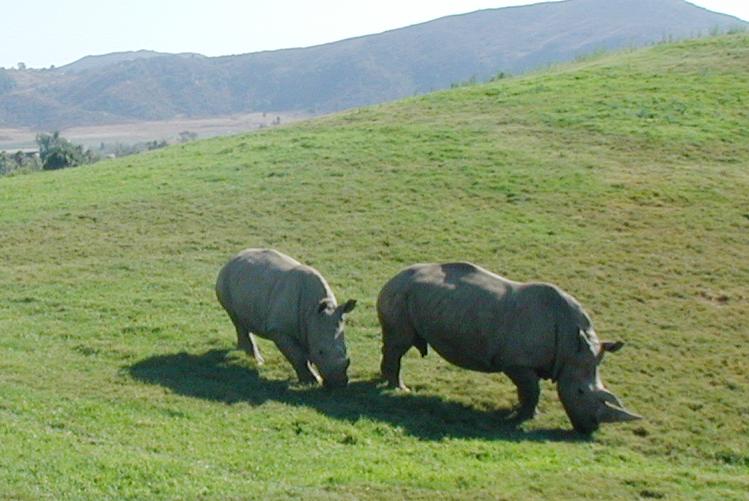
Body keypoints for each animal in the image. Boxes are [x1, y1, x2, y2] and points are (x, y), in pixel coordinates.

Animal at [216, 248, 357, 388]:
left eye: (346, 349)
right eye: (320, 352)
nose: (339, 383)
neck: (313, 312)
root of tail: (234, 257)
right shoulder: (279, 330)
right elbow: (298, 356)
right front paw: (312, 381)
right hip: (226, 280)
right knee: (236, 319)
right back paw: (257, 361)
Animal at [377, 262, 641, 433]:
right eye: (579, 392)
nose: (590, 429)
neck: (572, 346)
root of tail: (394, 276)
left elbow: (529, 391)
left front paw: (524, 413)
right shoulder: (517, 363)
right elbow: (531, 391)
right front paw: (523, 418)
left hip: (410, 294)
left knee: (395, 344)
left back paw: (385, 382)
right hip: (401, 292)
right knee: (399, 344)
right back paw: (399, 389)